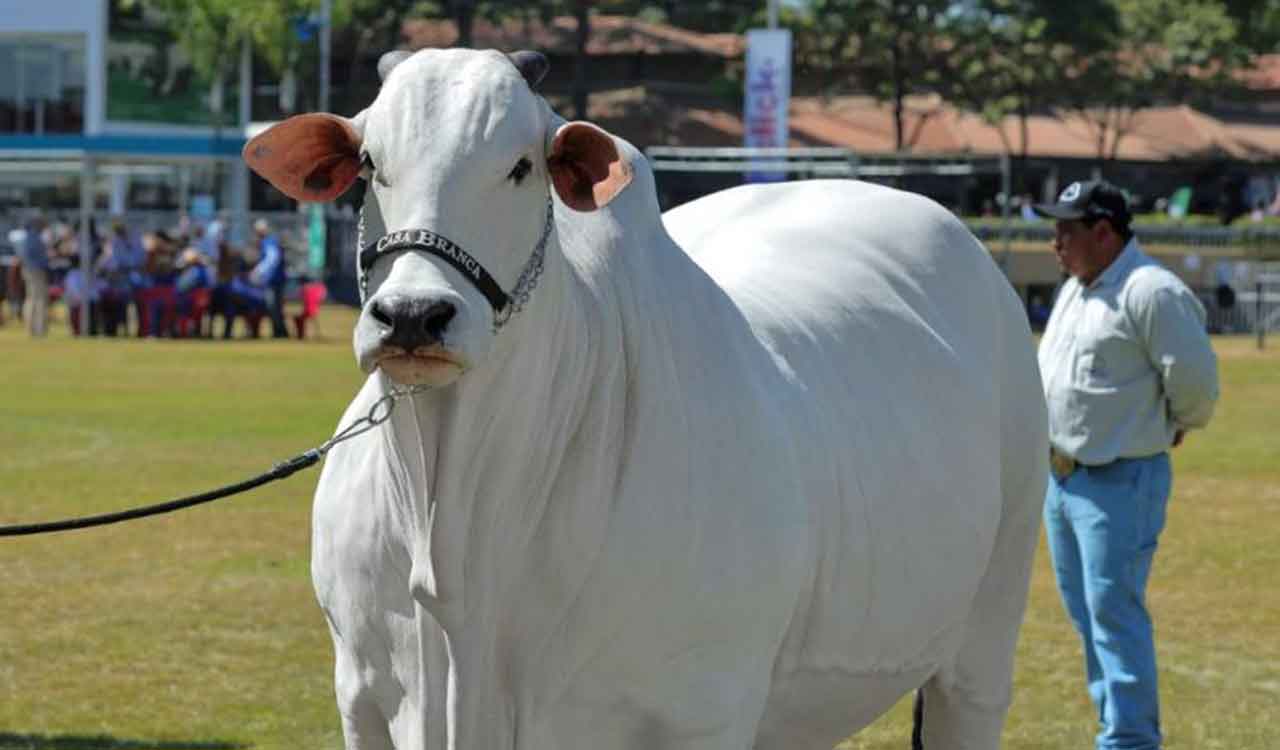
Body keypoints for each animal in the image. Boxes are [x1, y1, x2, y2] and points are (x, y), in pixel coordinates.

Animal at [243, 48, 1047, 750]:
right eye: (370, 164)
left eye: (522, 167)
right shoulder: (363, 702)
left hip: (988, 632)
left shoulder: (703, 714)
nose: (412, 315)